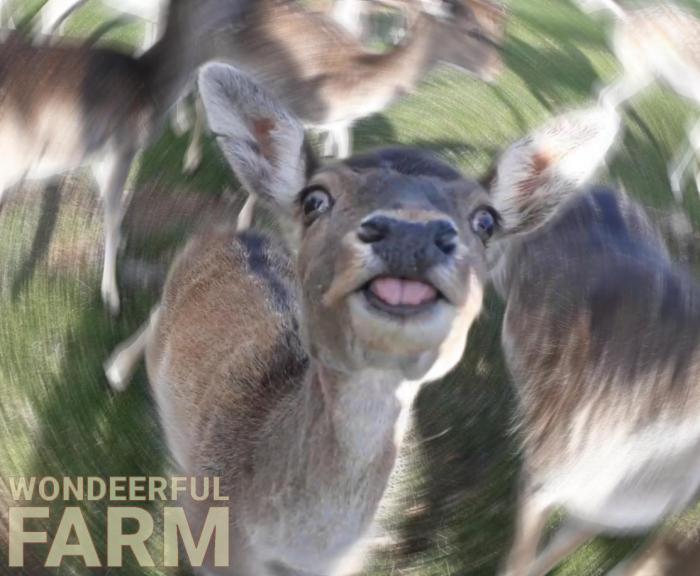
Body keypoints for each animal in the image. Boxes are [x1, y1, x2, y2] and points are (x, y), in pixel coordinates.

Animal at [0, 0, 250, 314]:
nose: (245, 17)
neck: (152, 85)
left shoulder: (98, 154)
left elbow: (109, 205)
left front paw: (120, 245)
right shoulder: (123, 147)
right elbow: (113, 210)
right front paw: (112, 297)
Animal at [583, 0, 700, 200]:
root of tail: (628, 15)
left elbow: (692, 133)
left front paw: (676, 183)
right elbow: (695, 138)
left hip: (635, 72)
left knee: (600, 88)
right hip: (643, 75)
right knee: (609, 95)